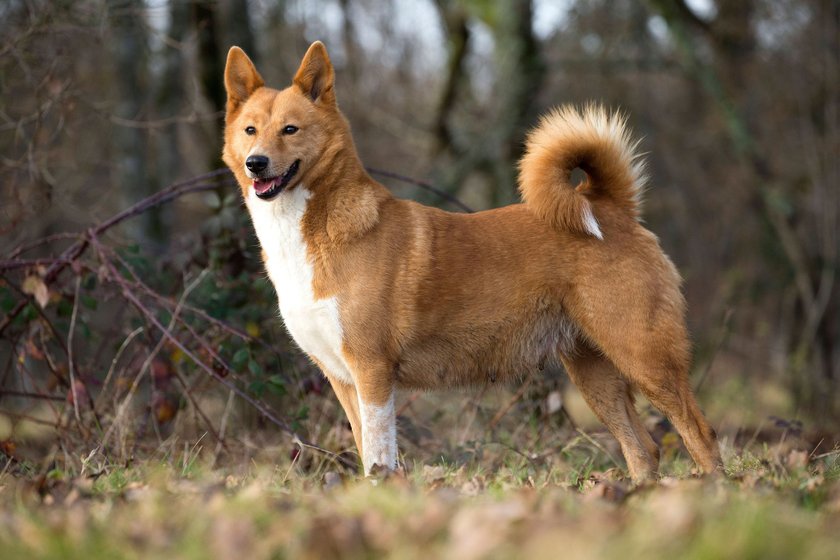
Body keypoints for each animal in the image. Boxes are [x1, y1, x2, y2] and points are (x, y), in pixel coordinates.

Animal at [221, 41, 720, 484]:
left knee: (700, 434)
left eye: (290, 129)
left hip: (646, 357)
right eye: (250, 130)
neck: (316, 232)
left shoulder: (373, 372)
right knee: (644, 449)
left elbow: (380, 457)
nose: (255, 164)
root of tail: (608, 206)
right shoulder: (344, 380)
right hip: (595, 373)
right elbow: (366, 449)